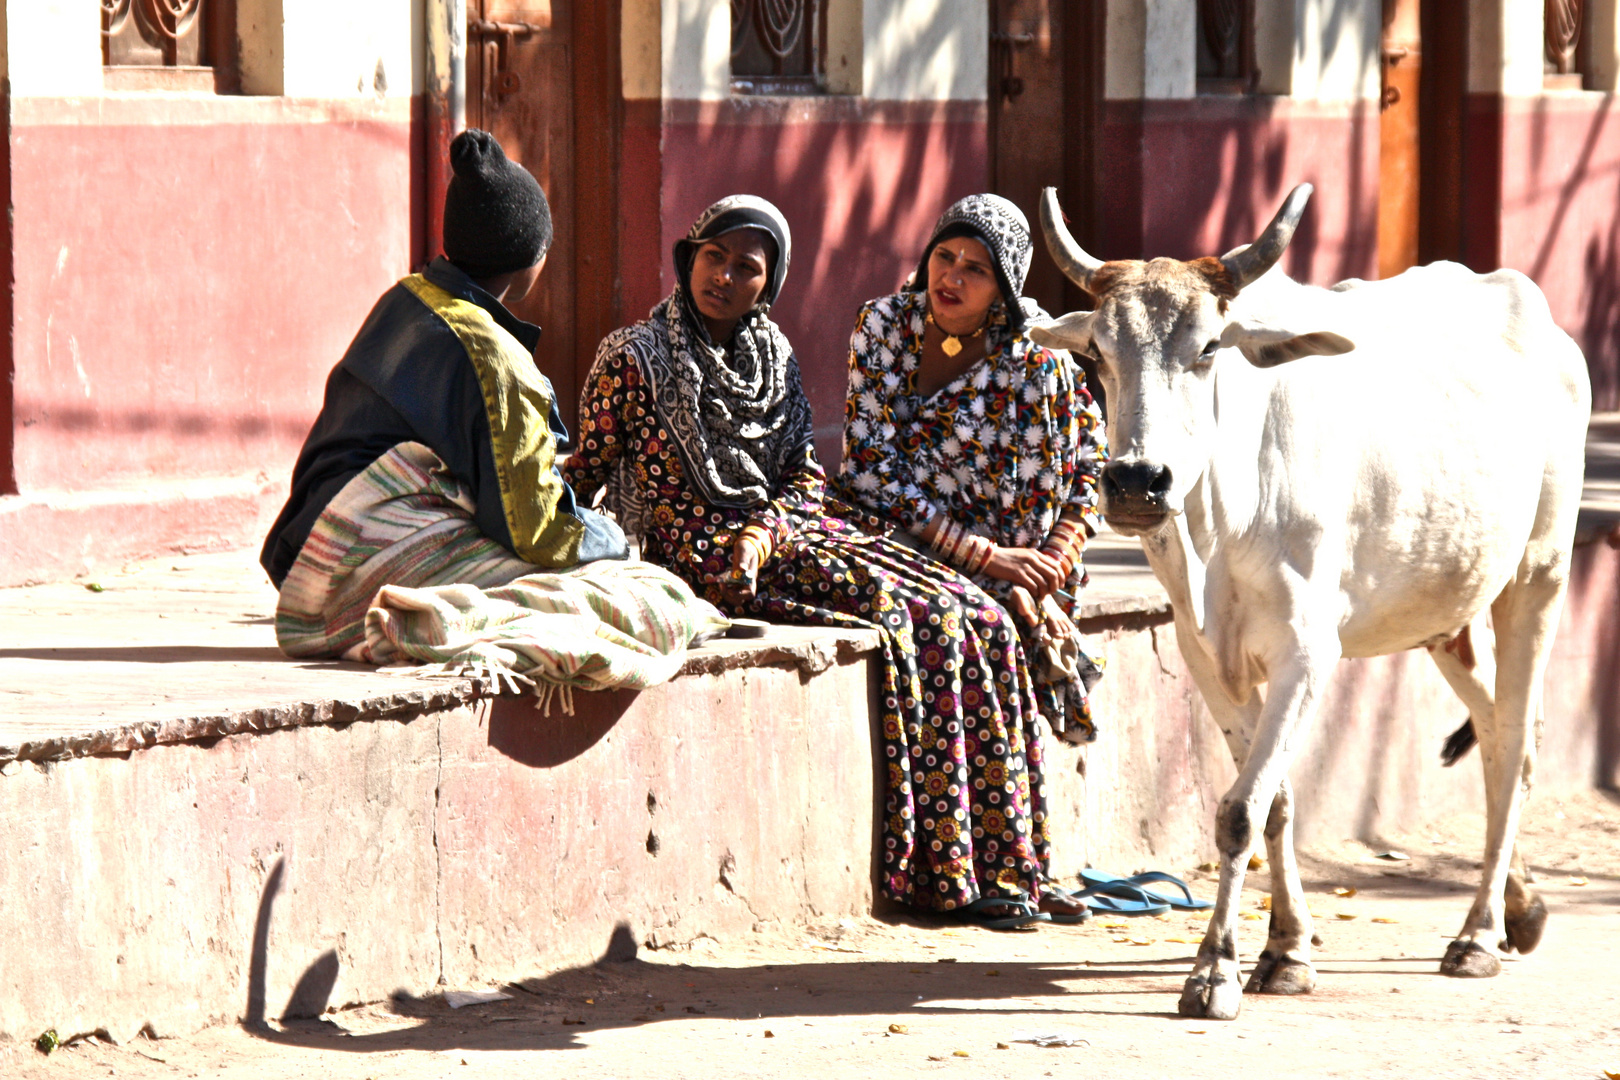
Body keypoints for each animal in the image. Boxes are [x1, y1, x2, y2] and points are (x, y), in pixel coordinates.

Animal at [1030, 186, 1587, 1023]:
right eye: (1096, 352)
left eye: (1208, 348)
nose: (1135, 482)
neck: (1219, 520)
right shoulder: (1207, 657)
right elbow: (1274, 801)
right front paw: (1285, 950)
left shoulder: (1306, 654)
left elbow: (1238, 810)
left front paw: (1215, 971)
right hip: (1447, 613)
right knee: (1495, 735)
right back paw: (1521, 908)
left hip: (1537, 576)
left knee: (1516, 739)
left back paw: (1478, 934)